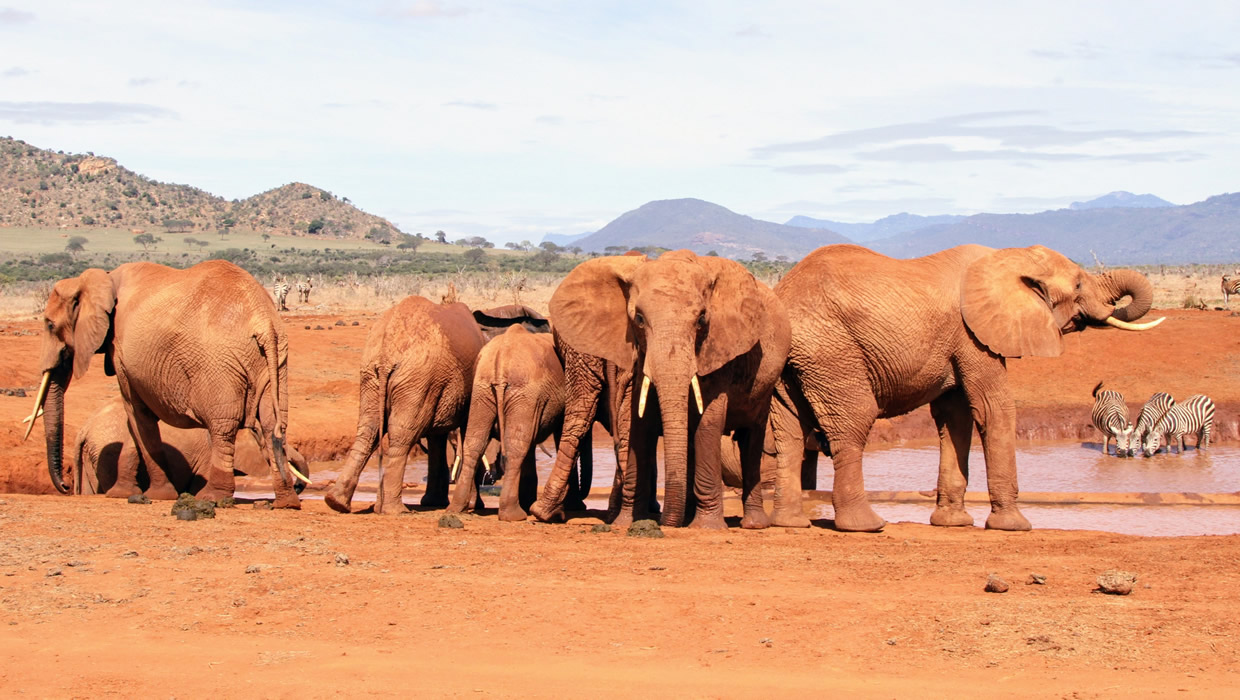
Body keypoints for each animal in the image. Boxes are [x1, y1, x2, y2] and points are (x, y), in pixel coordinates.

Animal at [448, 324, 565, 517]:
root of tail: (501, 358)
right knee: (516, 447)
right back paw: (513, 515)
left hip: (483, 390)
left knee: (475, 443)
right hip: (521, 392)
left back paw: (457, 509)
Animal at [538, 247, 788, 527]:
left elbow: (707, 422)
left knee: (751, 439)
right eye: (638, 318)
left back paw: (753, 523)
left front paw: (706, 526)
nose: (668, 522)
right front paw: (627, 523)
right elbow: (639, 422)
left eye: (702, 319)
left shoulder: (718, 348)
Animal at [768, 242, 1165, 532]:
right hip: (832, 352)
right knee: (853, 421)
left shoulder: (960, 342)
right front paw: (1014, 526)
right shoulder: (974, 336)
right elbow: (993, 408)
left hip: (793, 361)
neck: (1009, 257)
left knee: (789, 431)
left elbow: (955, 416)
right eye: (1079, 284)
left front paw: (952, 523)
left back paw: (791, 523)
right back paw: (866, 526)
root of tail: (783, 294)